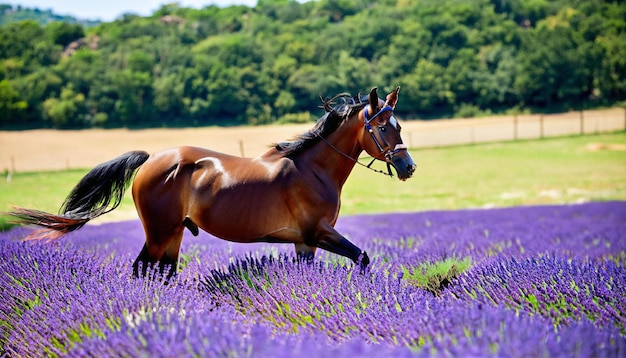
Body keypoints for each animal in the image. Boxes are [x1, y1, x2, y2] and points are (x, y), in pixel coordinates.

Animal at [9, 86, 414, 276]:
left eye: (399, 125)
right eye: (381, 127)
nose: (408, 166)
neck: (311, 170)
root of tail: (151, 160)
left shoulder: (305, 242)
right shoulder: (319, 233)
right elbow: (362, 257)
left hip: (172, 234)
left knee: (162, 273)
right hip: (159, 232)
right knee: (144, 271)